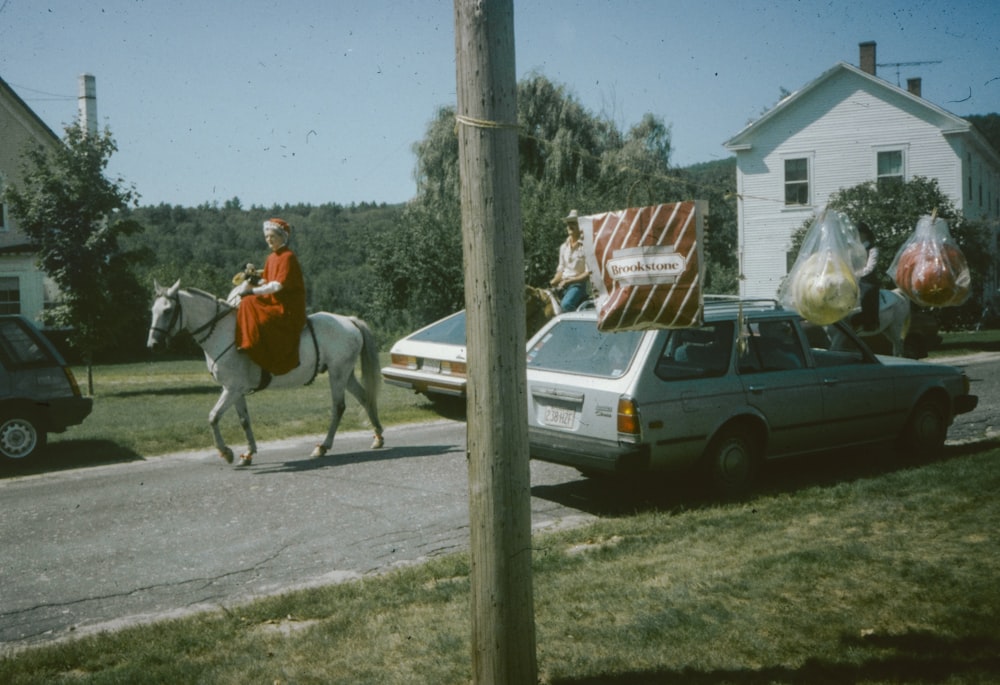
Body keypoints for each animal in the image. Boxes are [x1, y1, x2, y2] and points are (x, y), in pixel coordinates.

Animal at [147, 278, 382, 464]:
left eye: (168, 310)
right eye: (153, 311)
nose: (153, 344)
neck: (224, 332)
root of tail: (349, 320)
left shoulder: (232, 389)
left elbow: (213, 417)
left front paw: (226, 453)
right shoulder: (234, 389)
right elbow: (244, 420)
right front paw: (248, 453)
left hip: (338, 374)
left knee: (339, 407)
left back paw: (323, 446)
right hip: (345, 374)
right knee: (365, 397)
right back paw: (378, 437)